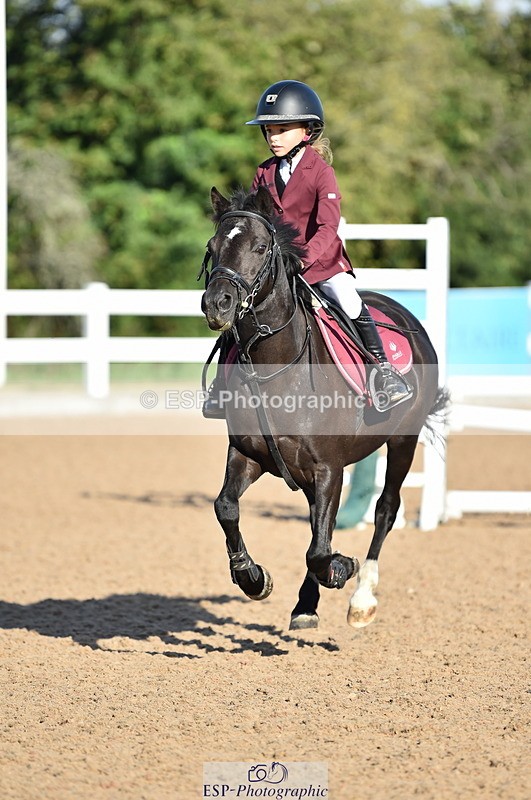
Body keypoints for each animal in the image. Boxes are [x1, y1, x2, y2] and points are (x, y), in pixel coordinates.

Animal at [200, 185, 448, 630]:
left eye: (260, 247)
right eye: (212, 248)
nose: (218, 304)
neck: (275, 368)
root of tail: (406, 317)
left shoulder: (328, 468)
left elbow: (320, 549)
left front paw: (341, 568)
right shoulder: (249, 455)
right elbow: (226, 507)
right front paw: (252, 577)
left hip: (403, 439)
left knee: (385, 509)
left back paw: (361, 598)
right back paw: (306, 602)